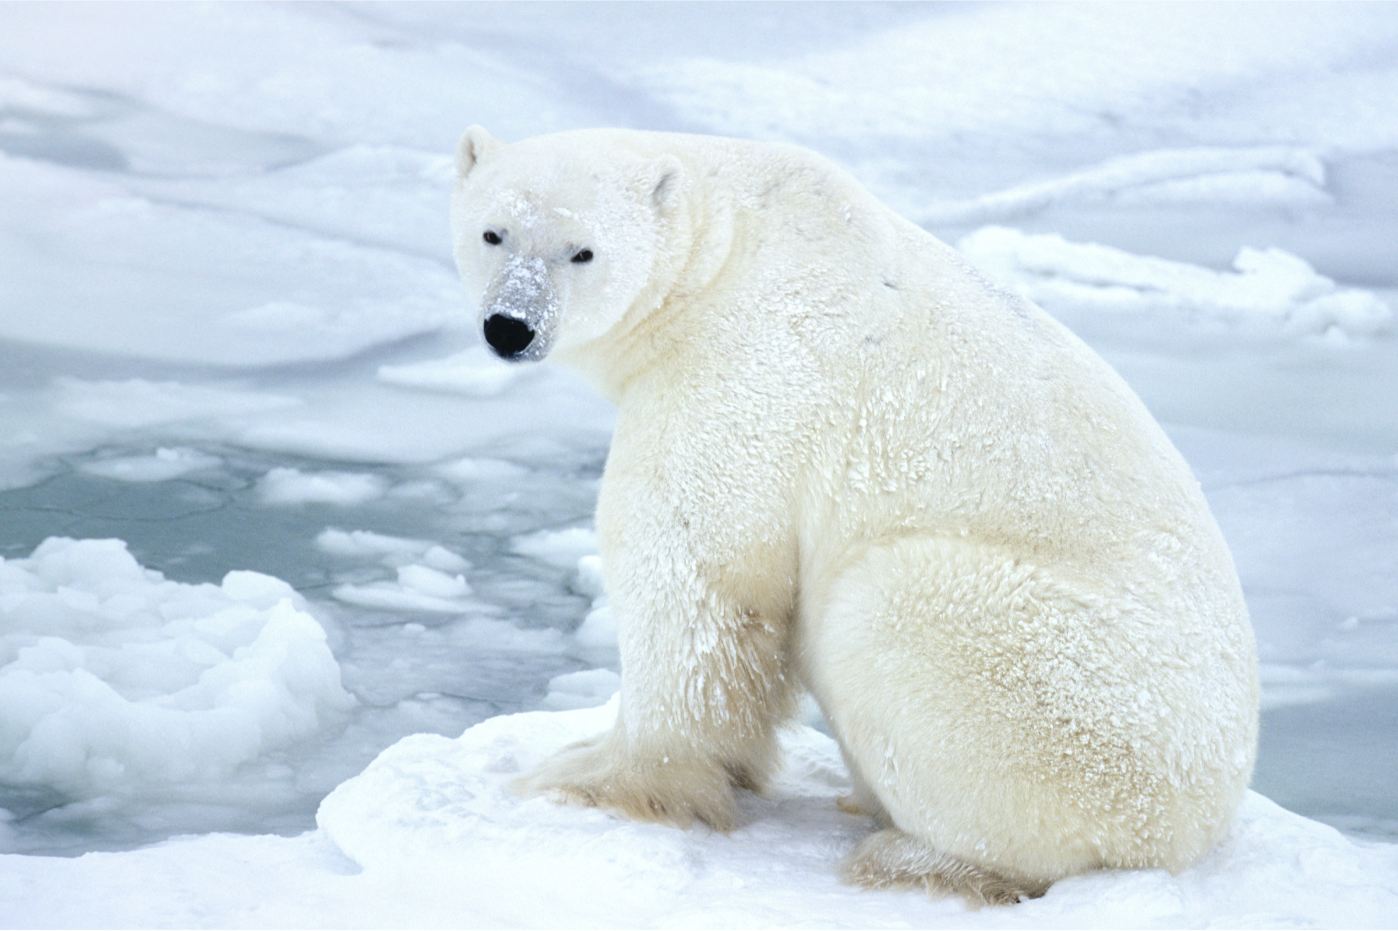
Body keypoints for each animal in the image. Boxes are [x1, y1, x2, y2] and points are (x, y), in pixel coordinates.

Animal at [452, 127, 1263, 900]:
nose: (510, 326)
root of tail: (1202, 825)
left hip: (1067, 700)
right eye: (494, 233)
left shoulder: (748, 371)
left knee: (889, 612)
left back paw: (917, 856)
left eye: (582, 250)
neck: (726, 248)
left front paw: (596, 775)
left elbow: (693, 571)